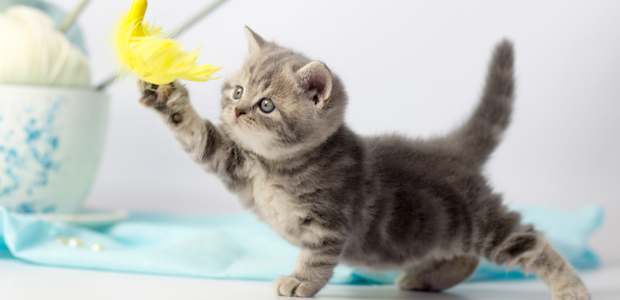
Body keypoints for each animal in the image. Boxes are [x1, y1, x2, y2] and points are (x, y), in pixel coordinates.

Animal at [139, 27, 592, 298]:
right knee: (465, 256)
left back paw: (572, 288)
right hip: (430, 231)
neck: (276, 166)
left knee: (530, 242)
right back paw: (425, 279)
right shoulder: (234, 162)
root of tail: (448, 148)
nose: (235, 112)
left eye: (266, 105)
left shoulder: (330, 220)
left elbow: (317, 259)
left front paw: (300, 281)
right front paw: (167, 95)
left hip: (478, 220)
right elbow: (198, 136)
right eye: (236, 92)